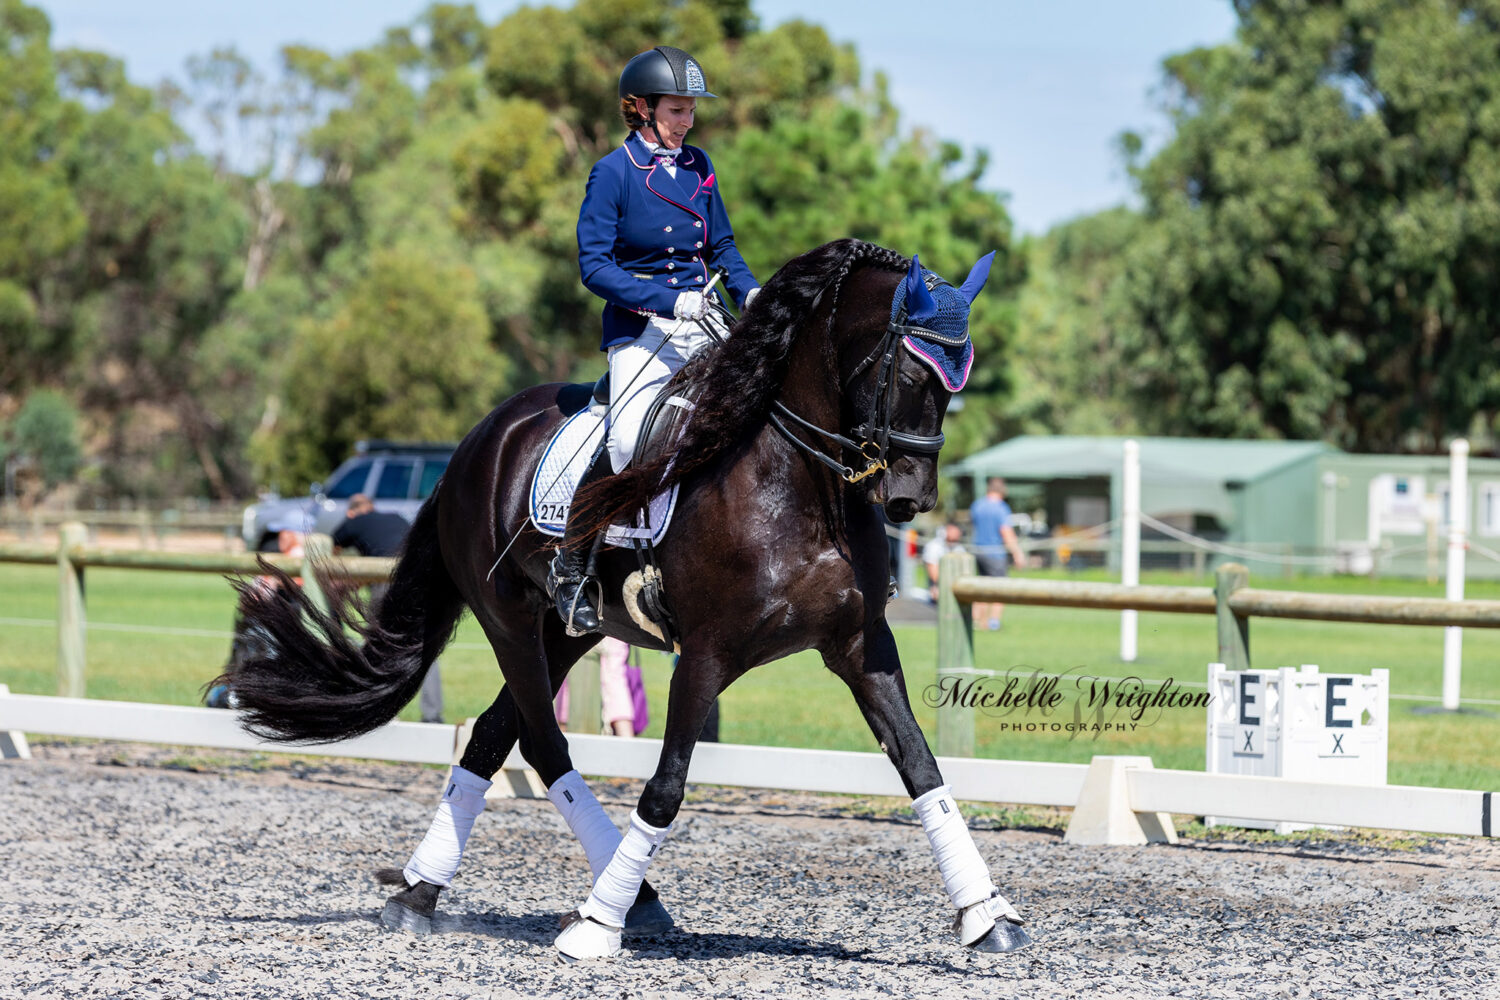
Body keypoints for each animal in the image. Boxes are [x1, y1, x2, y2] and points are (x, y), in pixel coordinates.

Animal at [219, 238, 1032, 959]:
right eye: (913, 372)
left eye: (956, 383)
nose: (911, 499)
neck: (801, 483)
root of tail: (475, 442)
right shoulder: (705, 653)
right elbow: (666, 787)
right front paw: (593, 928)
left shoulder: (862, 646)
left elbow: (922, 767)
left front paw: (988, 917)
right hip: (508, 619)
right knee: (543, 743)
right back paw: (614, 898)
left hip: (567, 629)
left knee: (492, 733)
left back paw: (427, 893)